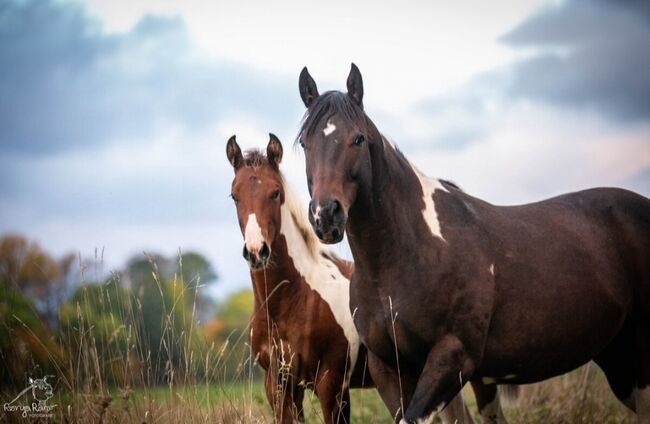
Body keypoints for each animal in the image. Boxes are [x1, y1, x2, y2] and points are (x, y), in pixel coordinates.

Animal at [296, 64, 648, 422]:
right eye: (306, 144)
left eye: (357, 139)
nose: (326, 215)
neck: (405, 256)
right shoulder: (389, 369)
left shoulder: (453, 357)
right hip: (617, 358)